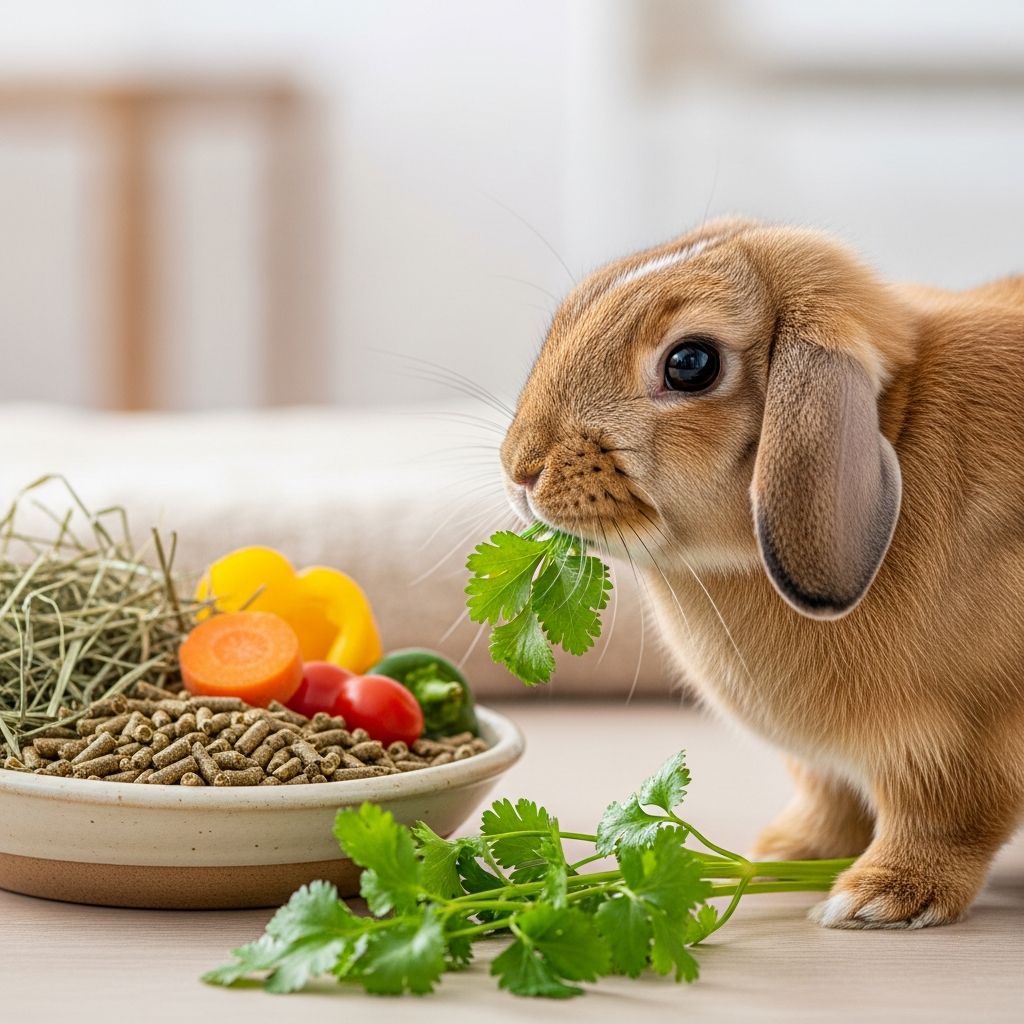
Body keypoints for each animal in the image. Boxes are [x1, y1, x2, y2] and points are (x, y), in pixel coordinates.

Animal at [499, 216, 1024, 929]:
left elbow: (942, 820)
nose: (520, 468)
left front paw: (876, 899)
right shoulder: (829, 766)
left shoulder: (960, 744)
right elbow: (831, 800)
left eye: (690, 363)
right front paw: (785, 856)